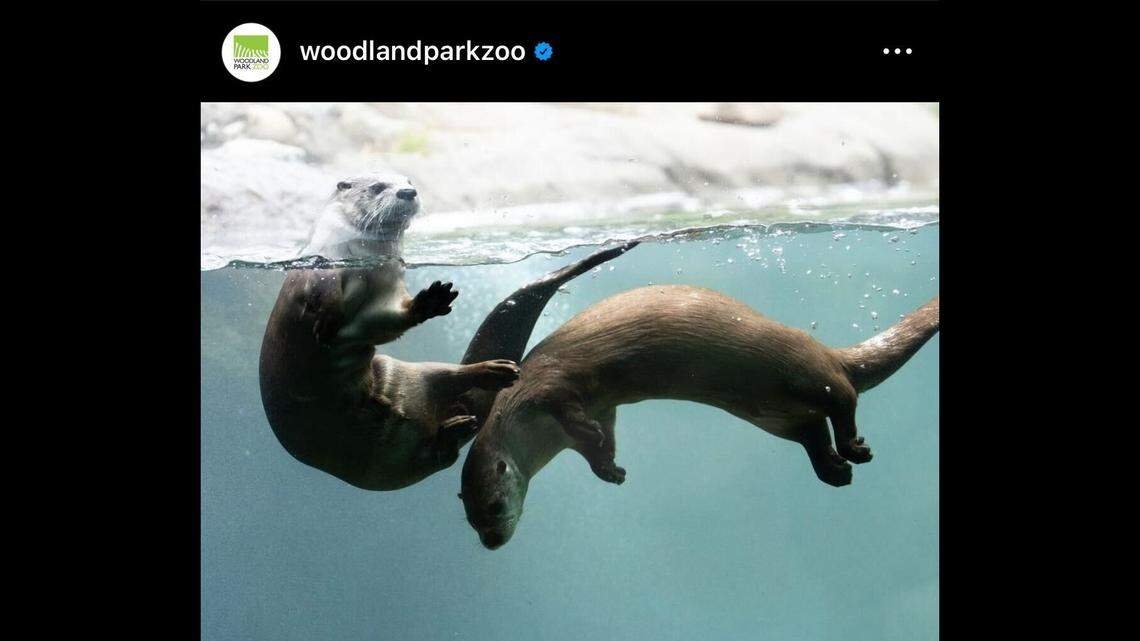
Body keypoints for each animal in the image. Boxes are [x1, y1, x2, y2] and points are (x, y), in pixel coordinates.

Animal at [259, 176, 639, 490]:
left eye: (408, 179)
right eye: (378, 186)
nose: (408, 191)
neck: (364, 265)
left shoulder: (385, 293)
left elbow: (383, 322)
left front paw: (430, 300)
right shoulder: (317, 269)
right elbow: (322, 298)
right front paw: (325, 321)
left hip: (419, 376)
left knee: (449, 392)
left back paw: (489, 379)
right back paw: (462, 420)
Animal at [461, 286, 939, 548]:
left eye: (495, 506)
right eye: (473, 521)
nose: (492, 542)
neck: (522, 416)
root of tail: (827, 350)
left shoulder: (551, 385)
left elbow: (576, 413)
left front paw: (596, 444)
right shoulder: (593, 409)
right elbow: (600, 440)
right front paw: (611, 470)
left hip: (798, 369)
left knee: (842, 397)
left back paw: (854, 447)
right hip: (776, 413)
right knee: (811, 432)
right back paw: (835, 469)